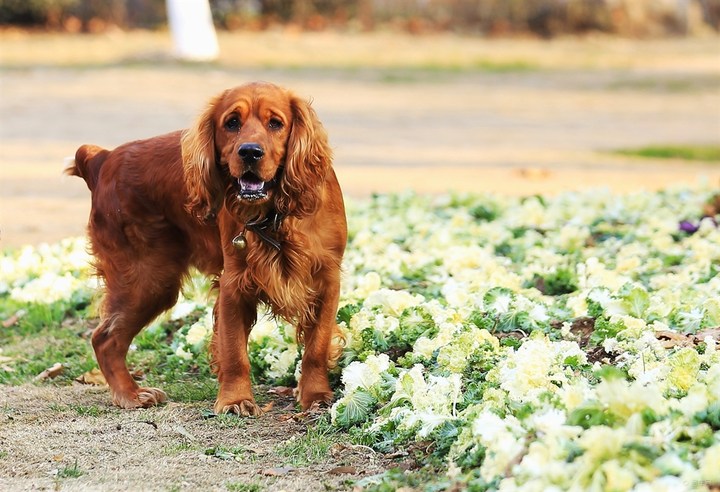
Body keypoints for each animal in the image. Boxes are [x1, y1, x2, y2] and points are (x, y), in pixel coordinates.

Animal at [67, 81, 346, 416]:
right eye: (232, 123)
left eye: (275, 123)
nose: (249, 152)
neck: (275, 215)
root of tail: (103, 160)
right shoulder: (233, 284)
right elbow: (234, 352)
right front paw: (235, 399)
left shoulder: (327, 280)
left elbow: (317, 345)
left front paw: (316, 394)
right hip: (147, 279)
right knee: (105, 338)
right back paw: (131, 394)